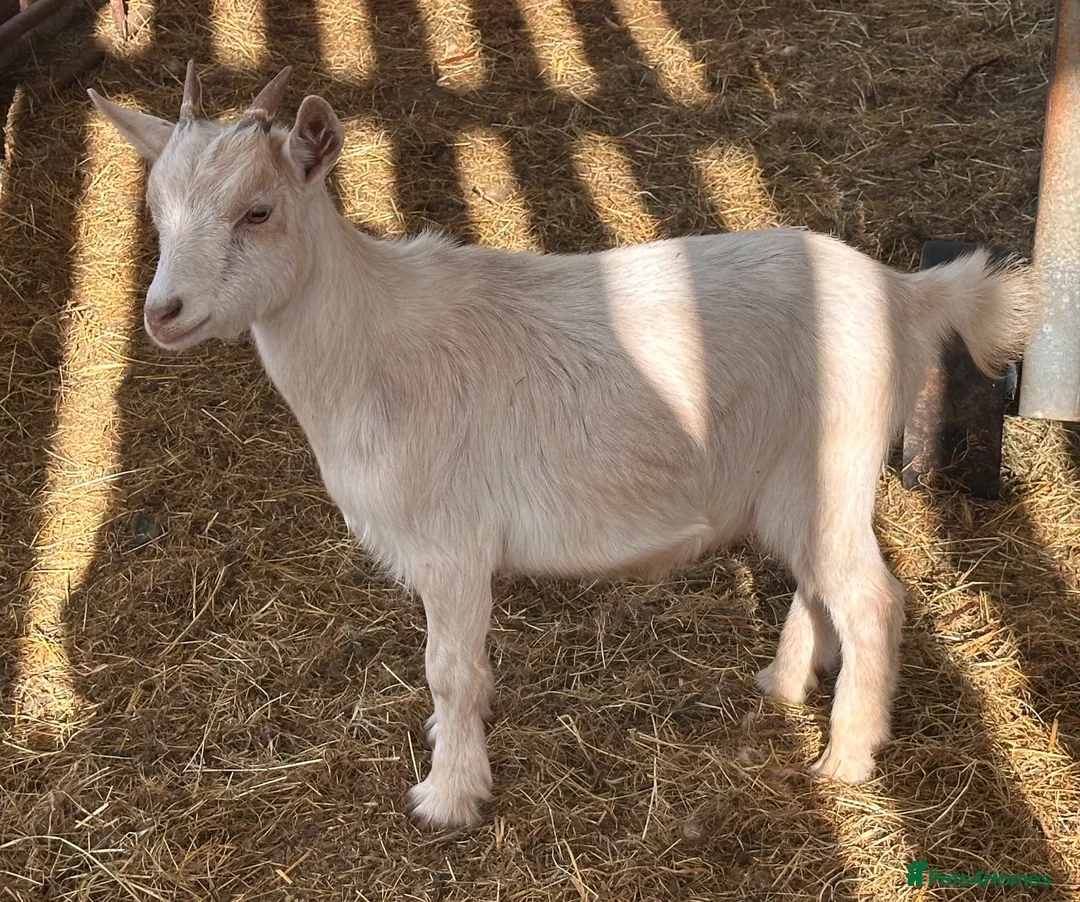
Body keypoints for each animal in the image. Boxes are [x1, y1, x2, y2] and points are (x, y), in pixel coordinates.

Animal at [89, 63, 1041, 829]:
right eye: (155, 210)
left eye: (258, 210)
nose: (163, 313)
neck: (371, 344)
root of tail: (905, 293)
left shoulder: (453, 545)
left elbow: (450, 670)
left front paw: (447, 797)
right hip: (790, 481)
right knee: (819, 582)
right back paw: (783, 685)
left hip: (833, 461)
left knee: (872, 599)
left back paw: (846, 760)